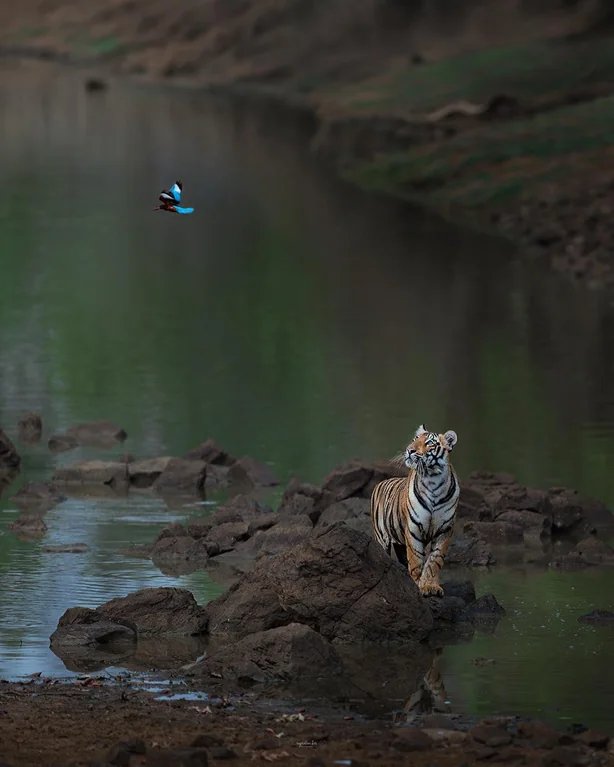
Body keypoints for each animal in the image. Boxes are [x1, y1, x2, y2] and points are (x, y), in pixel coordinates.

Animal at [370, 424, 460, 597]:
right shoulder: (413, 529)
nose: (409, 450)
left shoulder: (445, 529)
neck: (433, 480)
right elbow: (416, 560)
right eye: (415, 439)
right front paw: (418, 585)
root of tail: (381, 482)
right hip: (382, 538)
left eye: (429, 443)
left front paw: (430, 586)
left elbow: (434, 560)